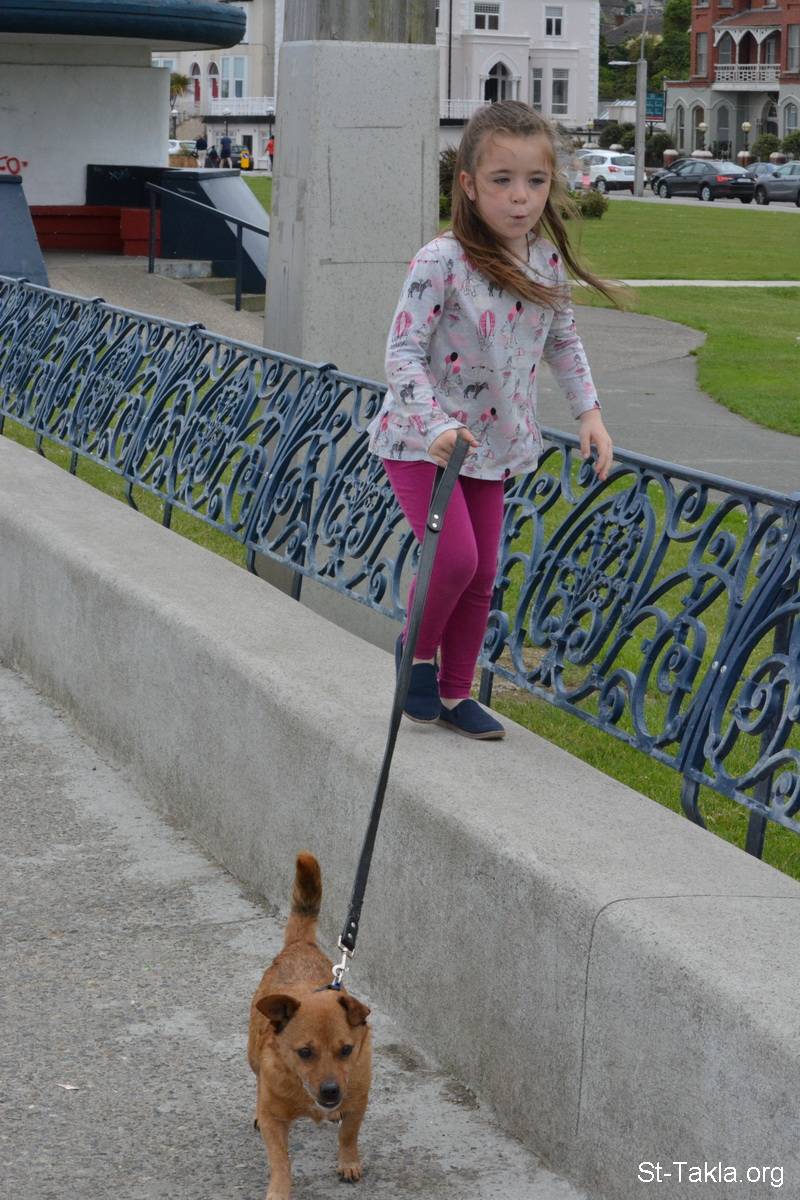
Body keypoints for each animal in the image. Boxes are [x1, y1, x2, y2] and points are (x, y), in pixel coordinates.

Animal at [248, 853, 372, 1200]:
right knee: (257, 1080)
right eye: (304, 1052)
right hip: (252, 1057)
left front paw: (348, 1161)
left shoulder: (358, 1102)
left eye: (347, 1050)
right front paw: (279, 1190)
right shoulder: (276, 1120)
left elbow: (349, 1135)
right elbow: (281, 1161)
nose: (331, 1091)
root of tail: (300, 944)